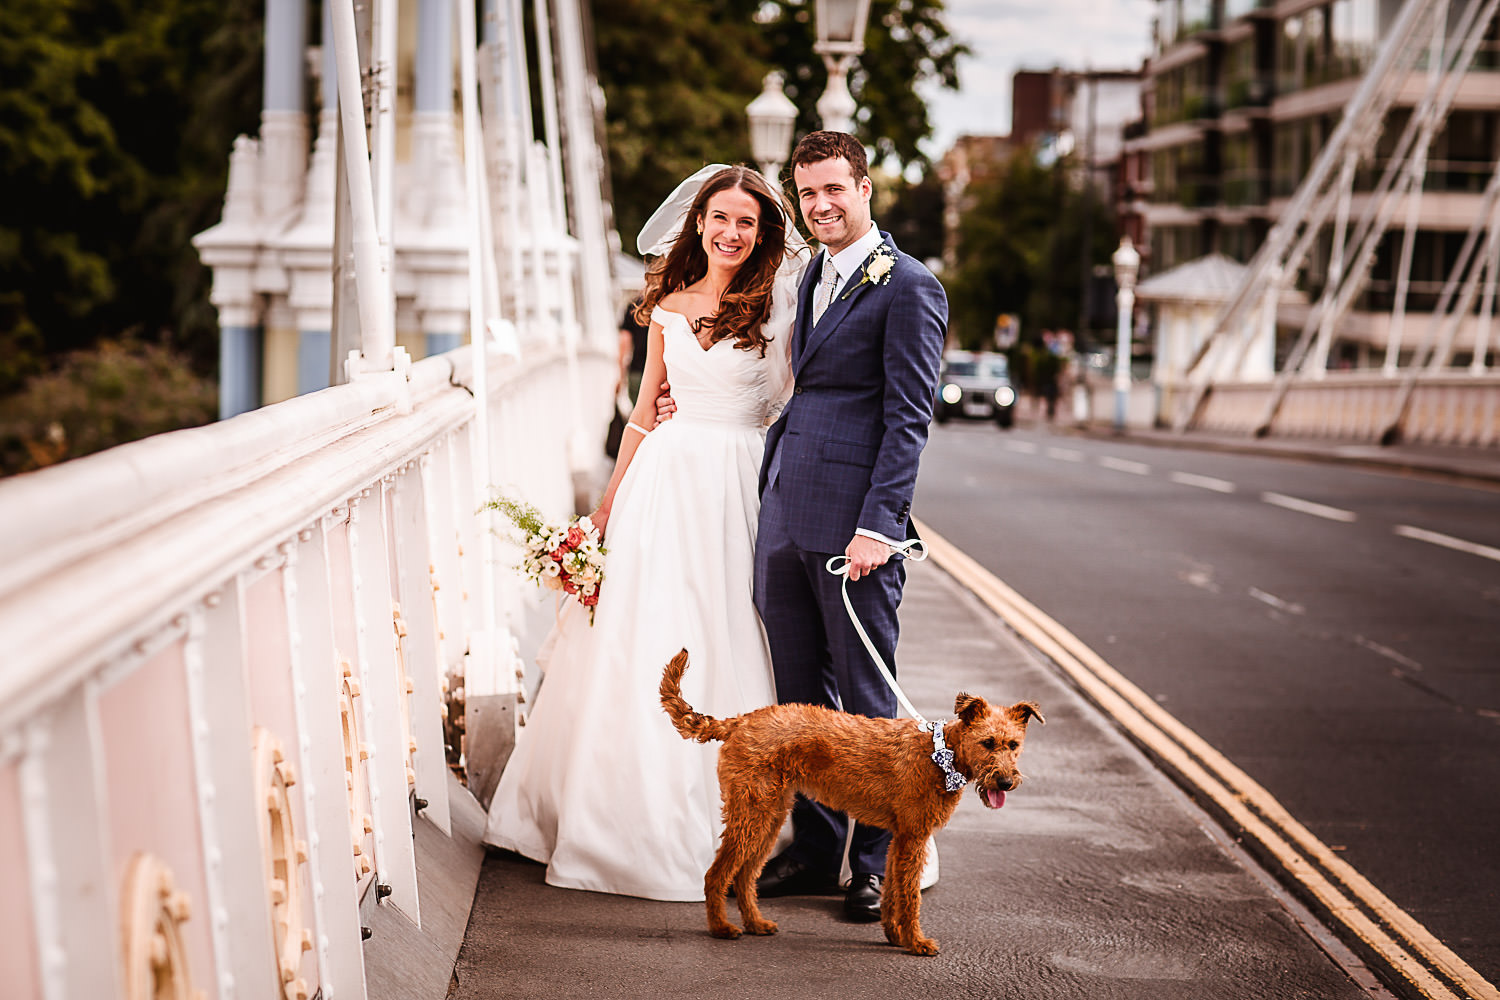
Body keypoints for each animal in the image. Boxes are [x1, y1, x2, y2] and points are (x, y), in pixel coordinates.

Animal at [660, 650, 1044, 953]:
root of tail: (739, 722)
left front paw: (894, 935)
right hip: (751, 813)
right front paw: (916, 942)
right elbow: (910, 896)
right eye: (988, 743)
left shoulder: (900, 838)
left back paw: (756, 923)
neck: (941, 753)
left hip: (769, 814)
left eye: (1013, 745)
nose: (1006, 782)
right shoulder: (914, 837)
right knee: (717, 874)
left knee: (745, 875)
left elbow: (892, 891)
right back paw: (721, 928)